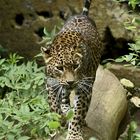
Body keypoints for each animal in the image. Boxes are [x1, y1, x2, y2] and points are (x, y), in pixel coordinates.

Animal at [41, 0, 102, 139]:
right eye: (59, 68)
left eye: (76, 66)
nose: (70, 82)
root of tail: (81, 15)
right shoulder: (50, 83)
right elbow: (54, 106)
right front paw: (61, 121)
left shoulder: (85, 88)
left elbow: (78, 113)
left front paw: (74, 134)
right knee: (64, 97)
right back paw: (66, 110)